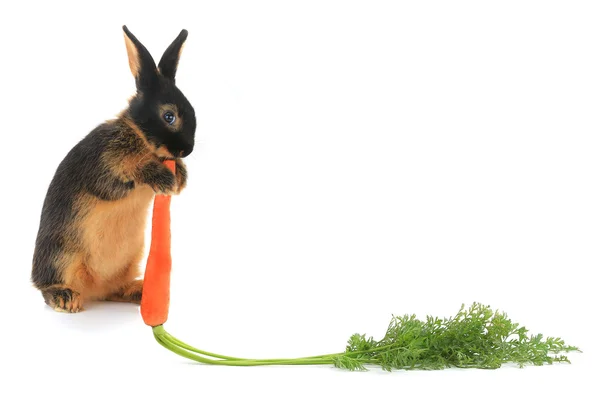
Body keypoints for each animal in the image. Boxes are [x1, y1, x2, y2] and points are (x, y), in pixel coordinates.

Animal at [31, 25, 196, 312]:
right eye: (169, 116)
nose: (187, 150)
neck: (139, 135)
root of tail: (93, 289)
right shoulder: (103, 167)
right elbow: (124, 179)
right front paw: (163, 178)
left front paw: (180, 177)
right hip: (61, 255)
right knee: (48, 285)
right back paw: (64, 297)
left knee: (115, 289)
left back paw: (140, 292)